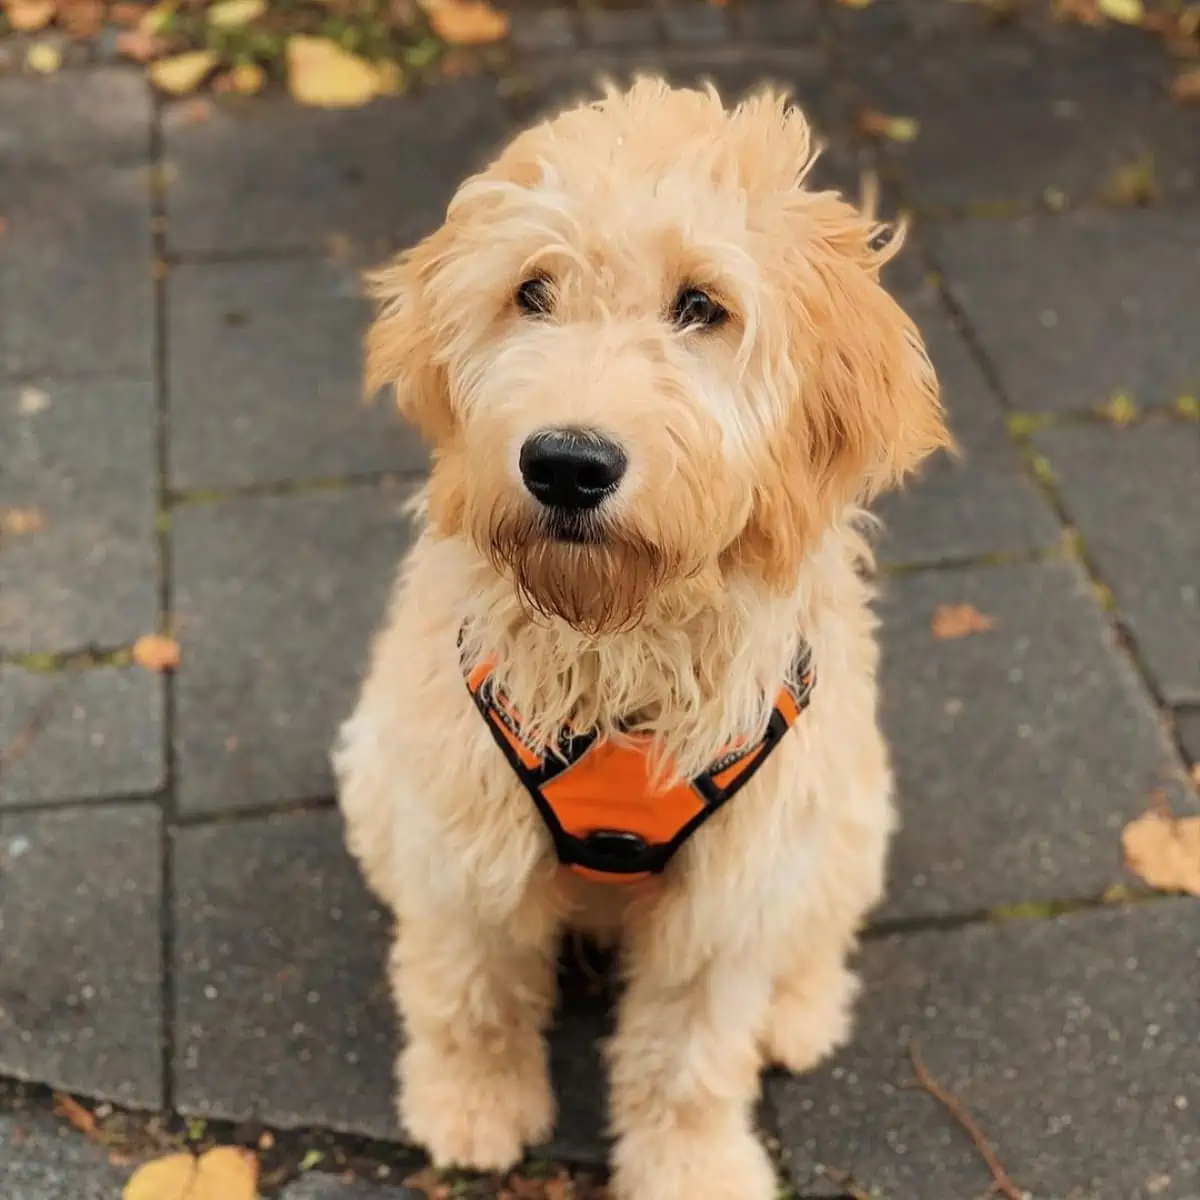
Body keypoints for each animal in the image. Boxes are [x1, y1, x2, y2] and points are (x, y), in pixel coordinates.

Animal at [336, 77, 945, 1200]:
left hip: (846, 815)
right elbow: (472, 989)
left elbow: (692, 1054)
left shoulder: (732, 892)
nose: (567, 464)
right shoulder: (465, 841)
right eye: (532, 291)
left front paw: (694, 1167)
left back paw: (798, 1012)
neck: (619, 646)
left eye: (702, 305)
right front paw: (472, 1103)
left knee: (815, 930)